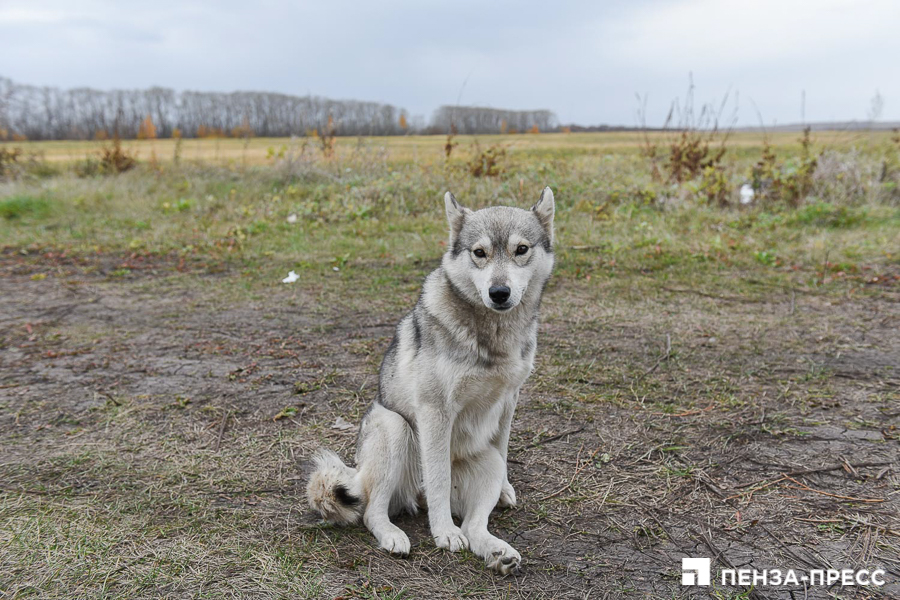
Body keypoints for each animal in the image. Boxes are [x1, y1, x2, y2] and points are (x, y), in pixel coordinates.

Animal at [306, 185, 552, 576]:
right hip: (395, 429)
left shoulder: (509, 400)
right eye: (479, 253)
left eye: (521, 250)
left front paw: (504, 493)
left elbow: (502, 445)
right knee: (373, 512)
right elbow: (437, 479)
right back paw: (396, 536)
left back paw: (497, 552)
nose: (499, 292)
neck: (492, 336)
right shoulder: (435, 411)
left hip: (486, 463)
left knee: (474, 524)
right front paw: (443, 534)